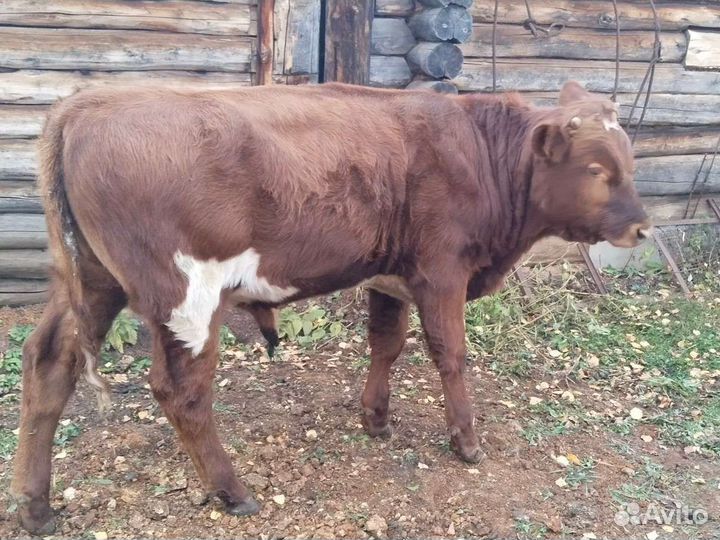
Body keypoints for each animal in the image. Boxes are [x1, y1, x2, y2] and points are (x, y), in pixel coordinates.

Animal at [11, 81, 650, 534]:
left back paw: (34, 506)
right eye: (597, 169)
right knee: (181, 391)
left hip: (91, 283)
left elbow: (386, 344)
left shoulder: (390, 275)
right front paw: (466, 441)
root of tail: (87, 103)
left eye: (629, 162)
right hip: (186, 295)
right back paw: (231, 490)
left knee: (48, 363)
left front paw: (376, 419)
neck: (478, 151)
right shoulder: (442, 270)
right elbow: (450, 355)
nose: (643, 228)